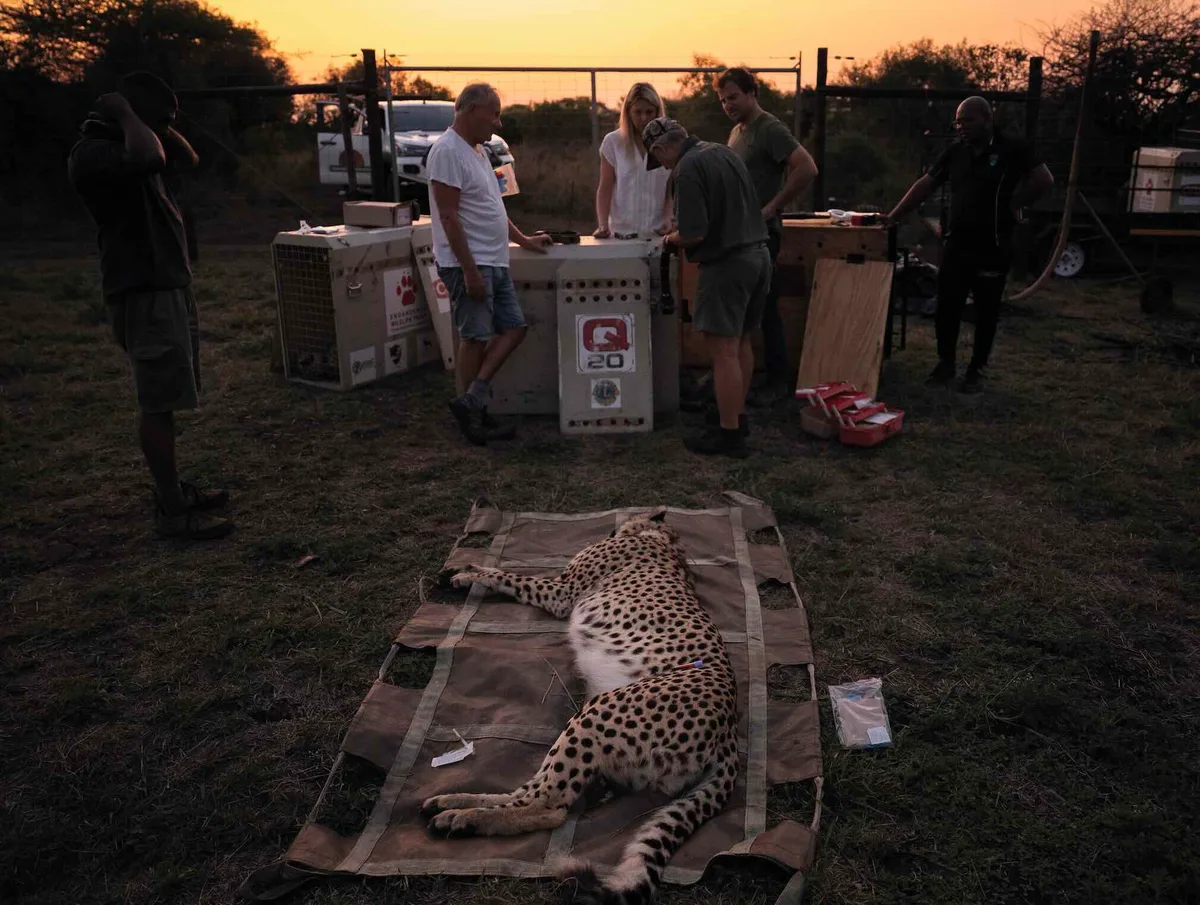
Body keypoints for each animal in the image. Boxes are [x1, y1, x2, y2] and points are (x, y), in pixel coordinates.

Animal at [421, 511, 740, 905]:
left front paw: (466, 574)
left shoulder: (561, 593)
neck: (664, 541)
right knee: (530, 792)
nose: (612, 527)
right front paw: (460, 568)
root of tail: (730, 730)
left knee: (550, 804)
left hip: (596, 714)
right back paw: (453, 802)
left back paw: (464, 817)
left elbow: (508, 575)